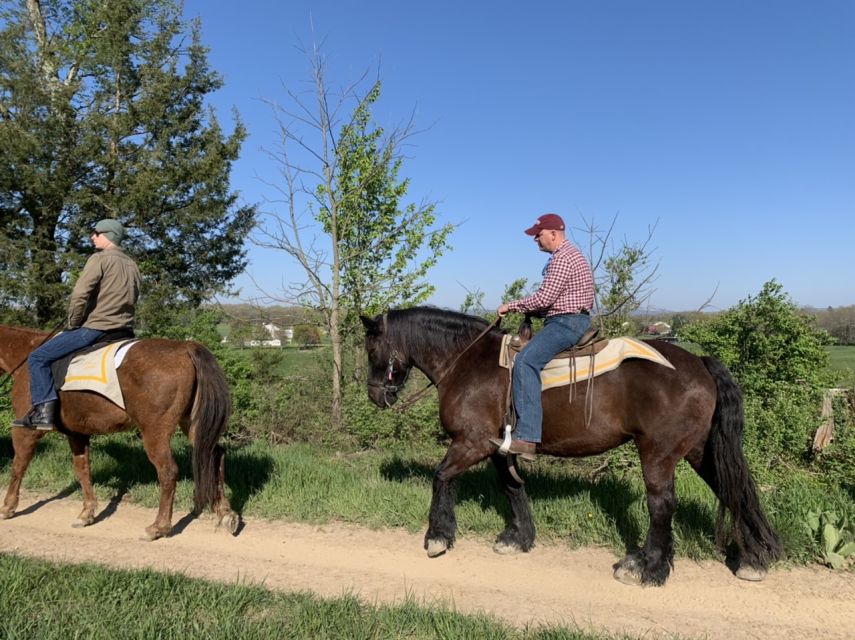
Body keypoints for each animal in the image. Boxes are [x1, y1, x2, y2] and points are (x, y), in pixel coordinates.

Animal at [2, 324, 241, 540]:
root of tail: (185, 347)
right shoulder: (76, 433)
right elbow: (83, 470)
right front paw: (87, 514)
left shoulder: (25, 431)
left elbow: (18, 465)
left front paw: (7, 507)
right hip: (192, 424)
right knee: (214, 456)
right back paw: (225, 514)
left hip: (154, 432)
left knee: (168, 471)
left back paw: (158, 527)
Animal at [362, 308, 784, 588]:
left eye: (370, 349)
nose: (376, 396)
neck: (468, 362)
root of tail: (698, 361)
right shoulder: (500, 449)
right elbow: (512, 488)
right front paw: (518, 538)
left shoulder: (472, 442)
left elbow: (442, 477)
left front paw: (437, 536)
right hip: (699, 451)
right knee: (731, 489)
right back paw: (752, 559)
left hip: (658, 453)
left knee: (662, 506)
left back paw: (646, 568)